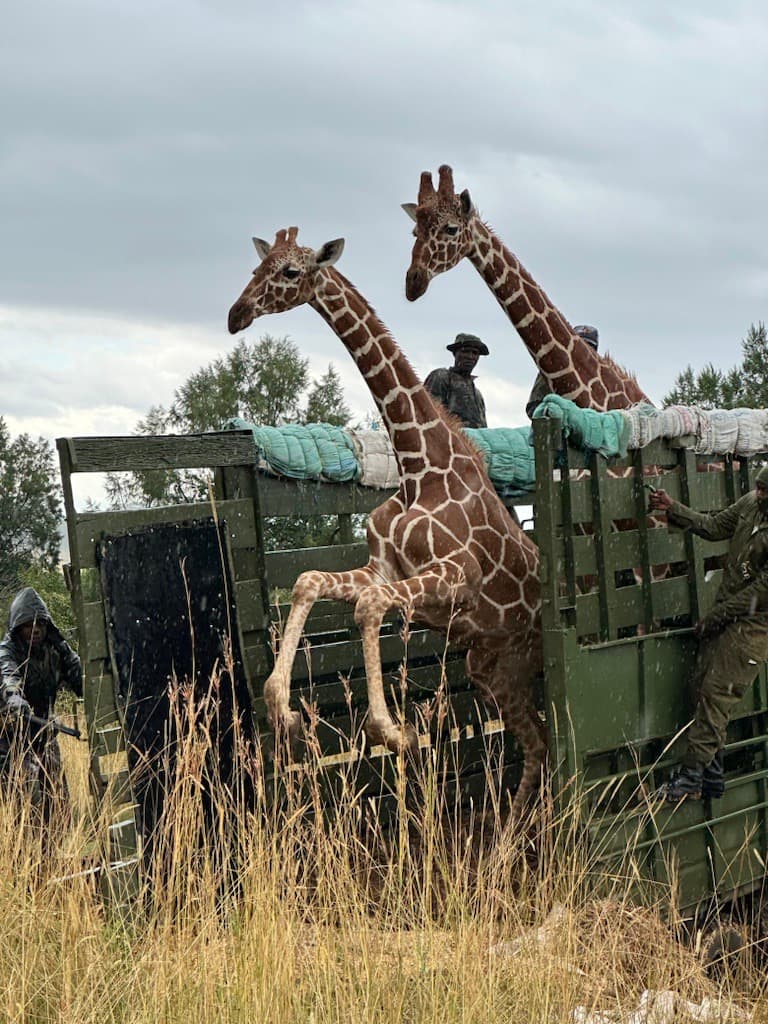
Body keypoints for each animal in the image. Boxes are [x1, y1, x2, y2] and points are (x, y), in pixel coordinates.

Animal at [228, 227, 545, 815]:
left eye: (290, 272)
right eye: (257, 267)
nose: (237, 314)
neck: (419, 465)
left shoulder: (455, 578)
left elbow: (371, 608)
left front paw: (395, 732)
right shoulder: (383, 570)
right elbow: (309, 581)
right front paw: (283, 709)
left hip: (519, 663)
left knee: (547, 738)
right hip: (491, 669)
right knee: (535, 741)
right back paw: (514, 827)